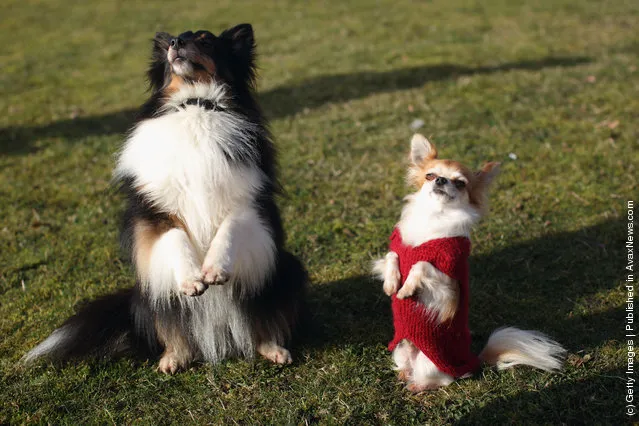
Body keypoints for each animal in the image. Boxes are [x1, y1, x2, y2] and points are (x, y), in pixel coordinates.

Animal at [22, 25, 308, 374]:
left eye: (205, 40)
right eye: (176, 38)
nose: (175, 42)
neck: (196, 103)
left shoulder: (250, 202)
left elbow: (229, 228)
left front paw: (214, 270)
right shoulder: (154, 211)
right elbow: (174, 237)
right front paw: (192, 280)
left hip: (289, 269)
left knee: (265, 321)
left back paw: (274, 349)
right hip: (145, 295)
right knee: (169, 328)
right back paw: (173, 357)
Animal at [372, 135, 568, 392]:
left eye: (460, 183)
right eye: (430, 175)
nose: (441, 180)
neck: (434, 217)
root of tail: (475, 359)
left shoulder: (449, 286)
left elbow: (421, 264)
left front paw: (406, 288)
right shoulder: (399, 248)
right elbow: (392, 255)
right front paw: (392, 283)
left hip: (430, 362)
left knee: (444, 380)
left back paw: (417, 387)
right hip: (400, 349)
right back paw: (405, 375)